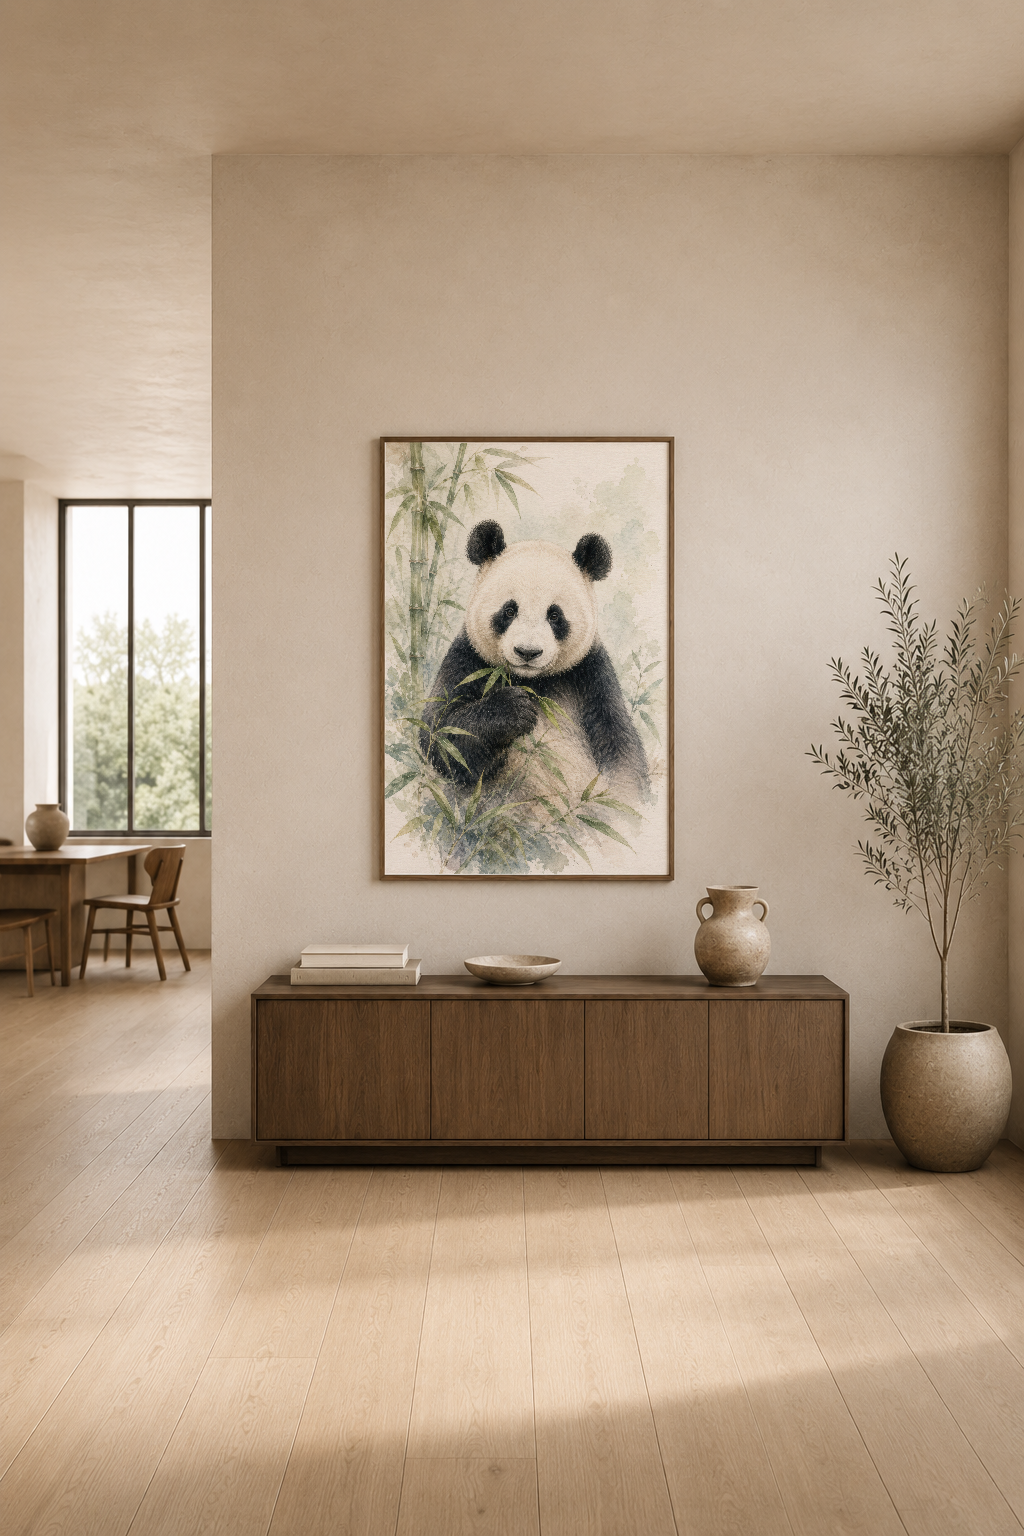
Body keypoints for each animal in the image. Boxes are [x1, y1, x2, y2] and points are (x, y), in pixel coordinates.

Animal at [421, 519, 649, 798]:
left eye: (554, 615)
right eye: (509, 610)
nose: (527, 652)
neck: (532, 680)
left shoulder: (590, 674)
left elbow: (621, 750)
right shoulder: (469, 660)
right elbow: (443, 734)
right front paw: (513, 708)